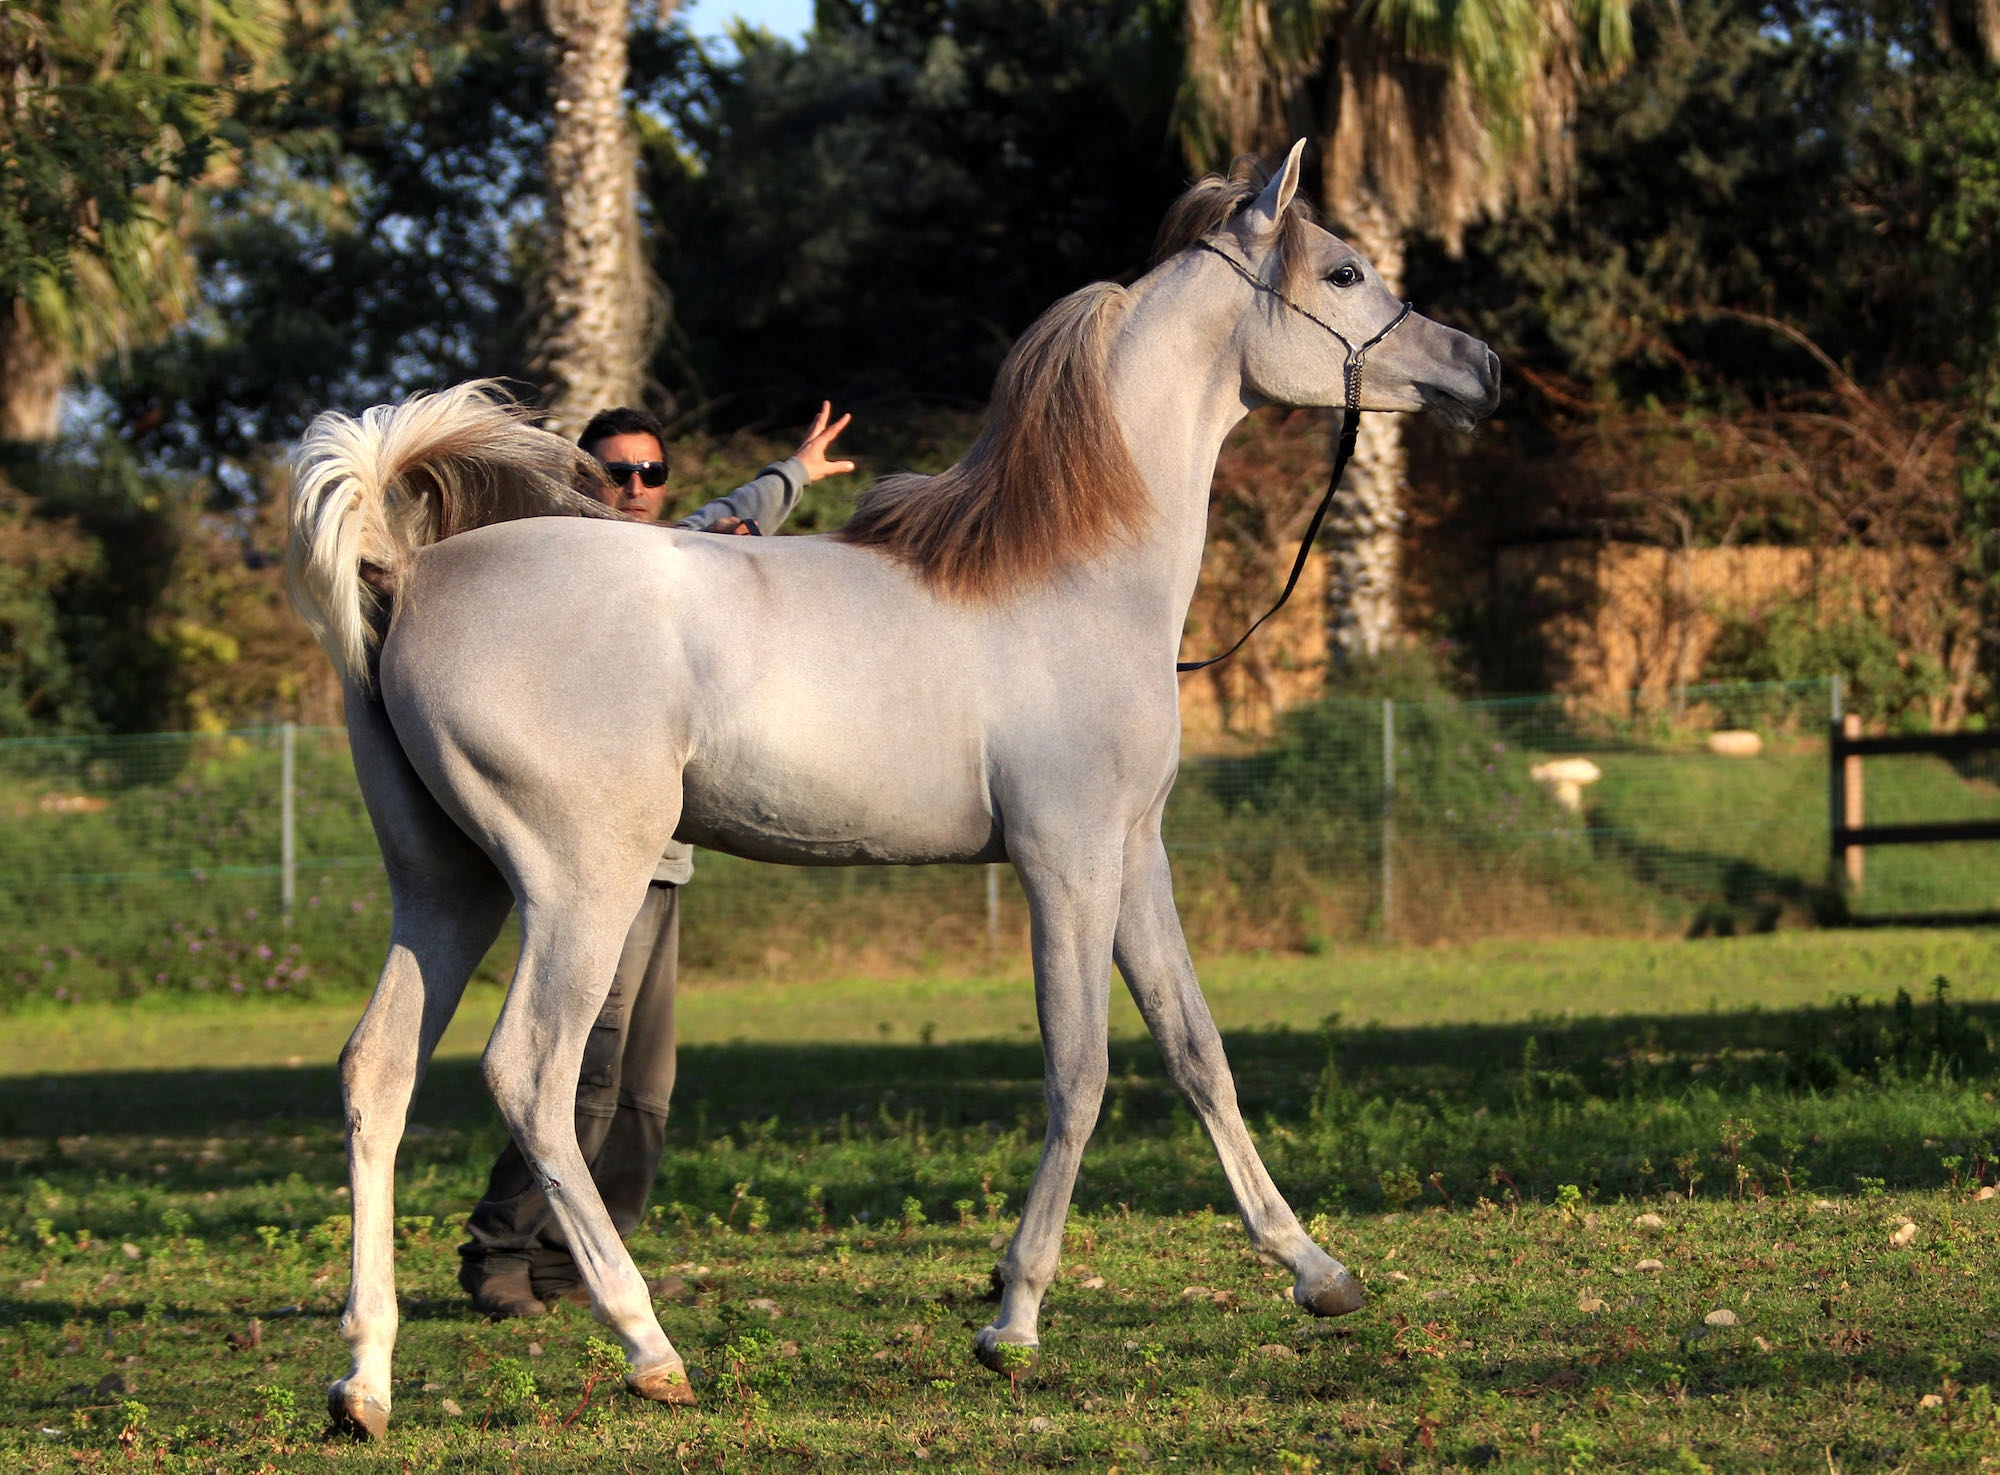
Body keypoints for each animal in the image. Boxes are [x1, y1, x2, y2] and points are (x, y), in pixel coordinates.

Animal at [285, 141, 1500, 1438]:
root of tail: (404, 573)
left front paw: (1316, 1270)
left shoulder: (1133, 854)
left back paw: (366, 1379)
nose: (1479, 368)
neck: (1068, 569)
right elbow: (1079, 1069)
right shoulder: (1066, 858)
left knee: (376, 1071)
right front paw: (1012, 1319)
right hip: (577, 886)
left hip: (446, 886)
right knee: (530, 1074)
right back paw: (650, 1346)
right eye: (1345, 269)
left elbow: (1195, 1048)